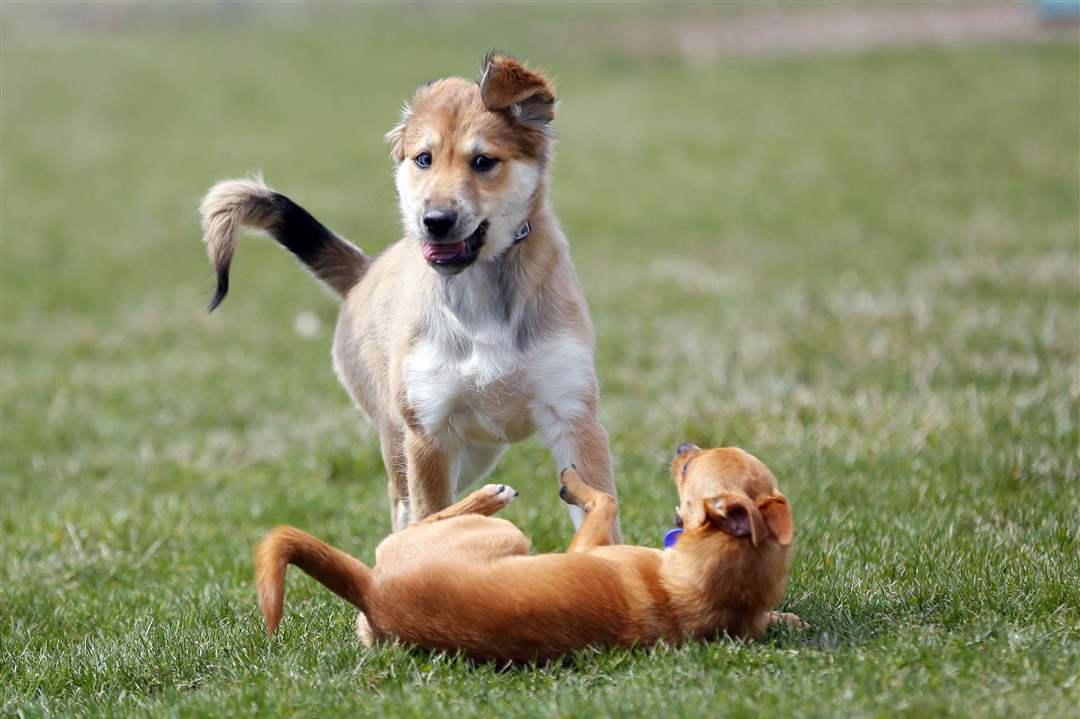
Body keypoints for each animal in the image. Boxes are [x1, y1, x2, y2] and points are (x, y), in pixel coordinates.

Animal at [195, 53, 617, 535]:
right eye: (423, 159)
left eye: (483, 161)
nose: (434, 221)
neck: (479, 293)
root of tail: (365, 270)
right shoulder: (428, 434)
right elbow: (432, 519)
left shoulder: (574, 418)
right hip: (400, 441)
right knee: (404, 513)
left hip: (474, 452)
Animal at [257, 442, 807, 660]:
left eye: (691, 469)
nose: (683, 448)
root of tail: (372, 592)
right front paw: (790, 620)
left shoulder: (587, 543)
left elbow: (603, 500)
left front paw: (573, 481)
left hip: (505, 536)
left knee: (415, 522)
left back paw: (489, 495)